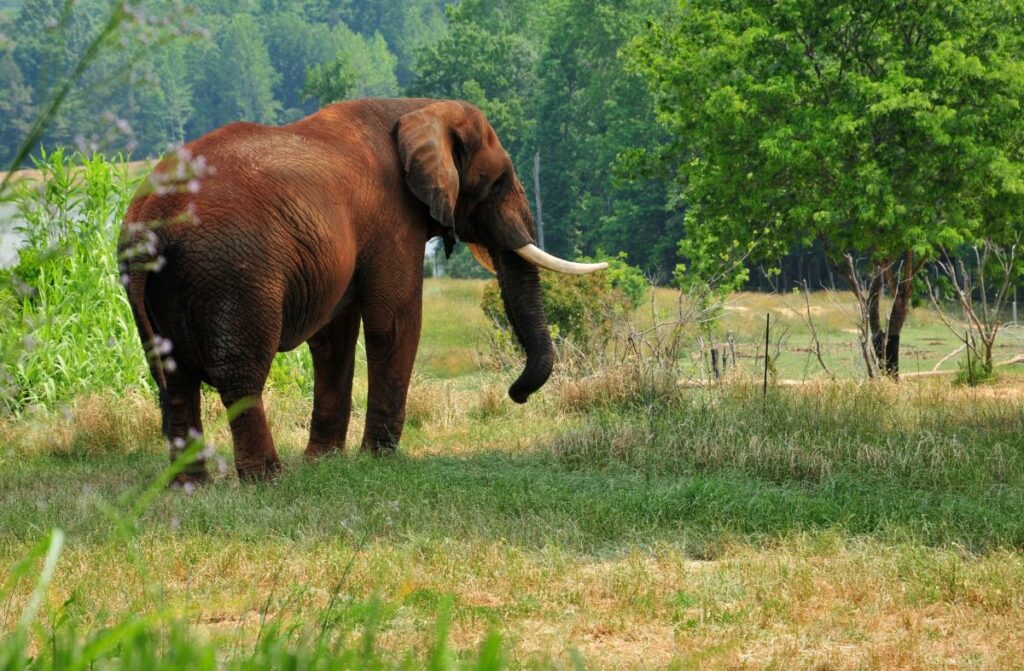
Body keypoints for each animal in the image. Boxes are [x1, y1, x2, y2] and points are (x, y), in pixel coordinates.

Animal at [117, 97, 606, 479]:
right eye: (499, 181)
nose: (515, 394)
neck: (416, 108)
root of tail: (150, 217)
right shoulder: (393, 219)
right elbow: (395, 320)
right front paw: (378, 459)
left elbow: (334, 338)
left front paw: (324, 462)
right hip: (235, 273)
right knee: (240, 376)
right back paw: (268, 480)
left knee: (174, 378)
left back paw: (190, 485)